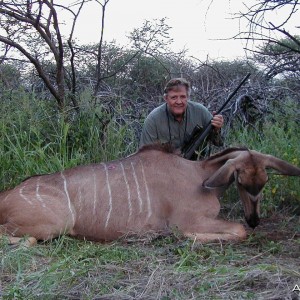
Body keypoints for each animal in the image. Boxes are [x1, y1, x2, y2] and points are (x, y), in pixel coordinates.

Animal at [0, 146, 300, 246]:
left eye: (264, 181)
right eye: (241, 180)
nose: (255, 220)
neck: (199, 175)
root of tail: (5, 196)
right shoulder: (187, 221)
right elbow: (237, 230)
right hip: (55, 224)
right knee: (27, 239)